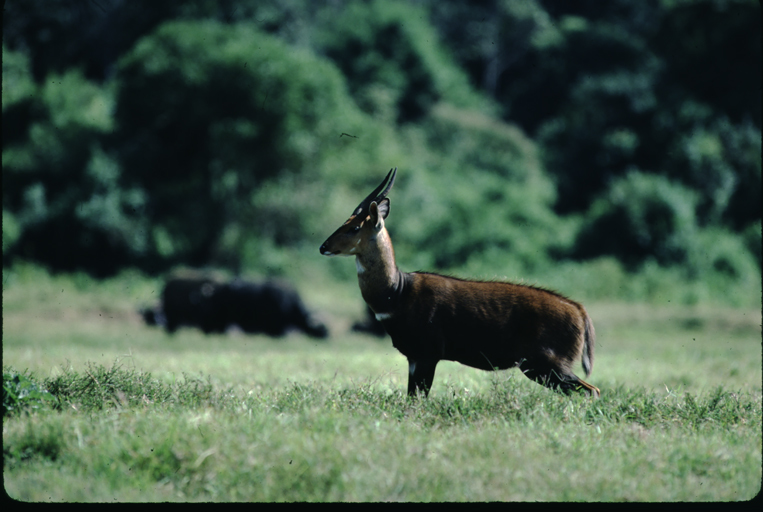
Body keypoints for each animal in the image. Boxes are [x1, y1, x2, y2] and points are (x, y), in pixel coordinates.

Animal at [320, 170, 600, 398]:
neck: (398, 293)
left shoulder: (427, 354)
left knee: (591, 390)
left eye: (354, 227)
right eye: (345, 221)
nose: (324, 246)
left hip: (546, 364)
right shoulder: (414, 357)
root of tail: (580, 312)